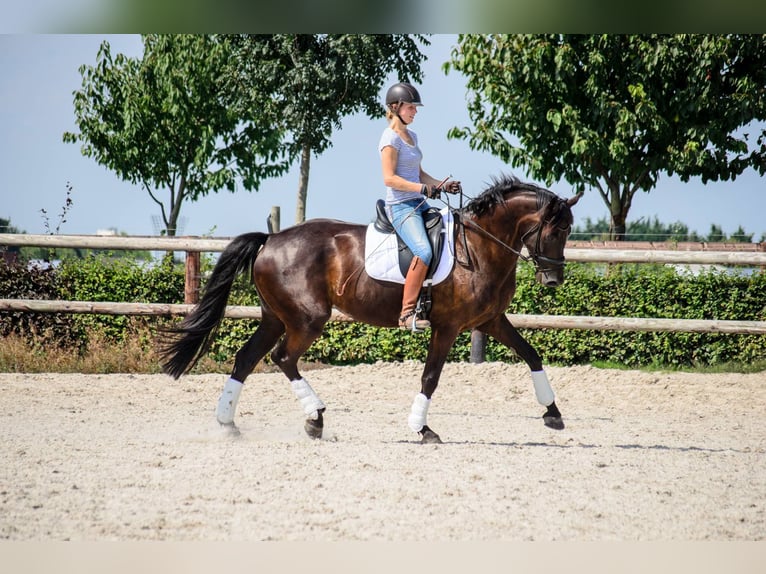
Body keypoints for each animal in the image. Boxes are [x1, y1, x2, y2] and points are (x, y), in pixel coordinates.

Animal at [159, 175, 579, 444]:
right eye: (558, 230)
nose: (553, 279)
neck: (478, 246)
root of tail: (271, 240)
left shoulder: (491, 320)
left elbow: (531, 354)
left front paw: (553, 414)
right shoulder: (447, 327)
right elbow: (431, 377)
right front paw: (422, 429)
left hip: (275, 317)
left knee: (246, 359)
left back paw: (228, 424)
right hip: (307, 319)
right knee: (283, 358)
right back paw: (315, 418)